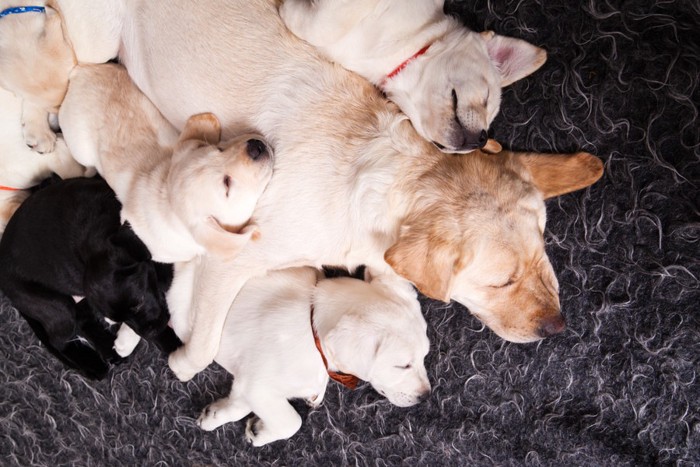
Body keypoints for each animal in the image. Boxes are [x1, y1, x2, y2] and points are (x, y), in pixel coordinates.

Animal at [0, 176, 180, 380]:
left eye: (138, 303)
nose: (150, 333)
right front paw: (172, 343)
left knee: (82, 320)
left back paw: (108, 349)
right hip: (54, 304)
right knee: (58, 340)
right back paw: (92, 364)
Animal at [117, 0, 604, 382]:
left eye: (543, 257)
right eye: (500, 281)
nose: (558, 328)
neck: (389, 177)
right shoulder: (229, 260)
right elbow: (201, 350)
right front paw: (177, 359)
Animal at [190, 266, 432, 446]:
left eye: (424, 356)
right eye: (402, 366)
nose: (426, 396)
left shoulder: (249, 383)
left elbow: (240, 403)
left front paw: (218, 416)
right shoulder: (257, 385)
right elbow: (291, 422)